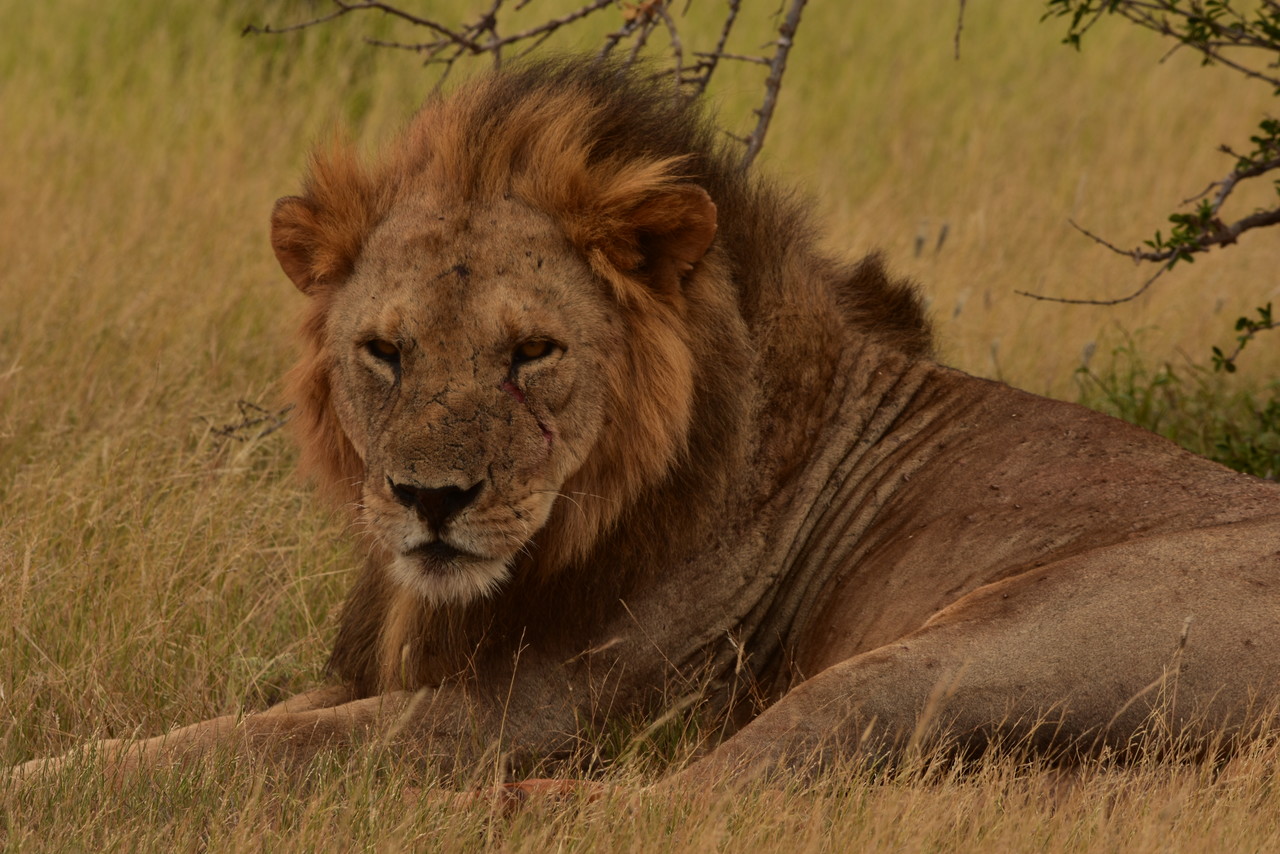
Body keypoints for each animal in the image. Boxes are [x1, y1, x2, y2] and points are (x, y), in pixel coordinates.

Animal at [15, 58, 1280, 788]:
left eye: (532, 353)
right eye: (384, 350)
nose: (429, 500)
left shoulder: (538, 710)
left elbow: (264, 745)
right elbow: (217, 724)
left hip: (956, 654)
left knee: (689, 794)